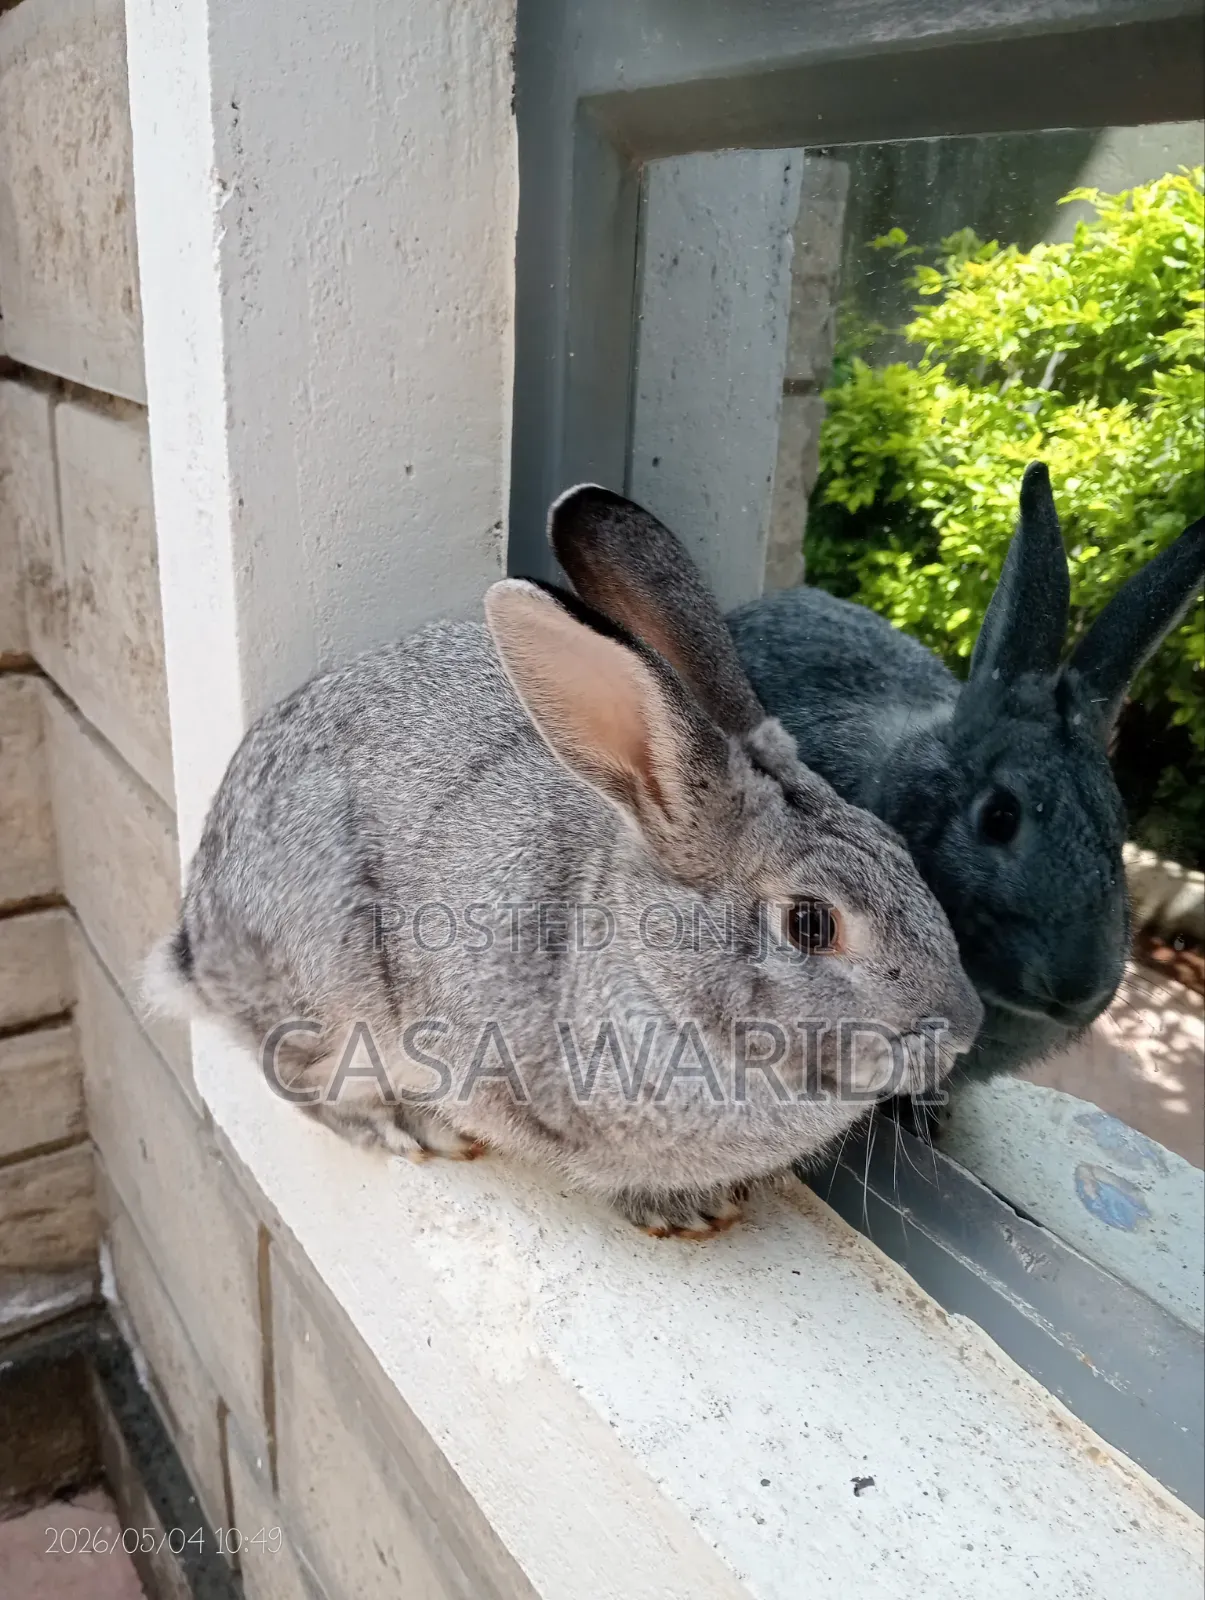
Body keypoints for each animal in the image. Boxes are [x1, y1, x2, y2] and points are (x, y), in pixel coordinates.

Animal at [146, 487, 982, 1238]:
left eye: (900, 851)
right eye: (810, 924)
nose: (964, 1028)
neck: (651, 970)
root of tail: (199, 943)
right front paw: (679, 1212)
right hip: (329, 999)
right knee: (297, 1080)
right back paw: (411, 1129)